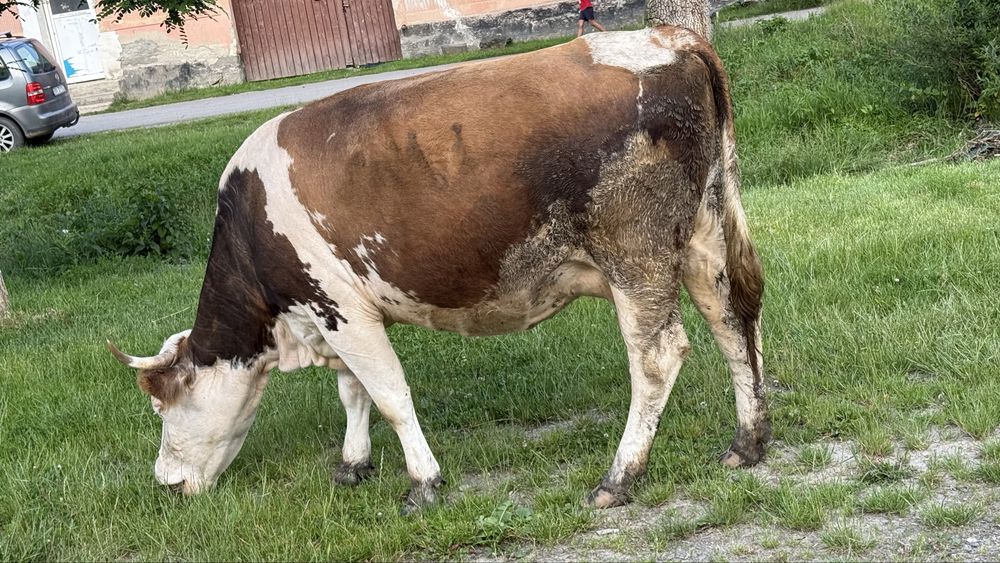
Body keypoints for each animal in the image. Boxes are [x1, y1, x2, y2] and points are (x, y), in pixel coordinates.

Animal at [108, 25, 769, 513]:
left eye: (160, 407)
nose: (165, 481)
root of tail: (672, 36)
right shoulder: (335, 312)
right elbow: (353, 391)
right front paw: (353, 465)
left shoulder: (338, 307)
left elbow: (389, 395)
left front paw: (423, 484)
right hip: (703, 235)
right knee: (732, 320)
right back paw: (748, 442)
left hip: (635, 251)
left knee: (658, 356)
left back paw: (619, 477)